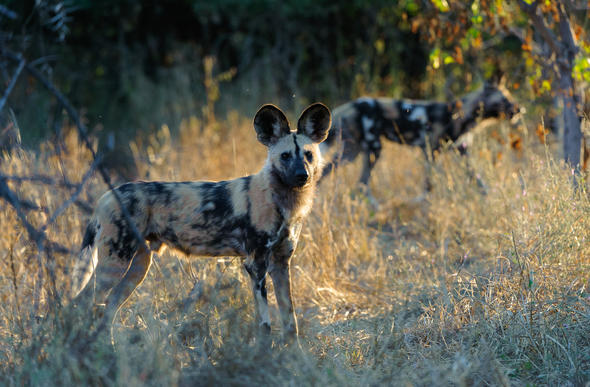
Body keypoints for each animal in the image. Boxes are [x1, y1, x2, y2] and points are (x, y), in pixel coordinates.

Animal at [70, 103, 332, 342]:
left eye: (308, 155)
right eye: (285, 156)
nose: (302, 175)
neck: (282, 200)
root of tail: (107, 195)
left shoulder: (280, 263)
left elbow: (290, 321)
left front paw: (293, 356)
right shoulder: (256, 265)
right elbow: (265, 325)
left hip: (137, 267)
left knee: (108, 309)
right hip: (113, 265)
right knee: (80, 303)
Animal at [322, 80, 520, 186]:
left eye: (510, 96)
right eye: (505, 99)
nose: (519, 109)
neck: (461, 115)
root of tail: (350, 105)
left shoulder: (462, 151)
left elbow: (479, 182)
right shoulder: (431, 152)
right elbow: (428, 186)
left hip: (354, 152)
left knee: (345, 179)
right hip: (371, 151)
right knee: (358, 183)